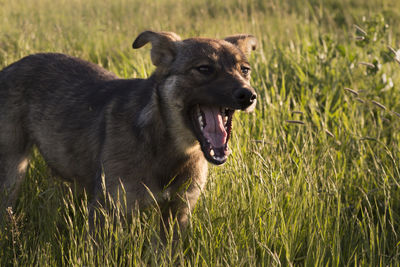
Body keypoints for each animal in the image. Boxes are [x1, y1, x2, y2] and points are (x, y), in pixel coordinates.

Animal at [0, 31, 256, 239]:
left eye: (245, 70)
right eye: (204, 69)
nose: (249, 95)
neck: (166, 145)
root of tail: (9, 67)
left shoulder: (177, 212)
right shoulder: (105, 212)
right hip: (11, 171)